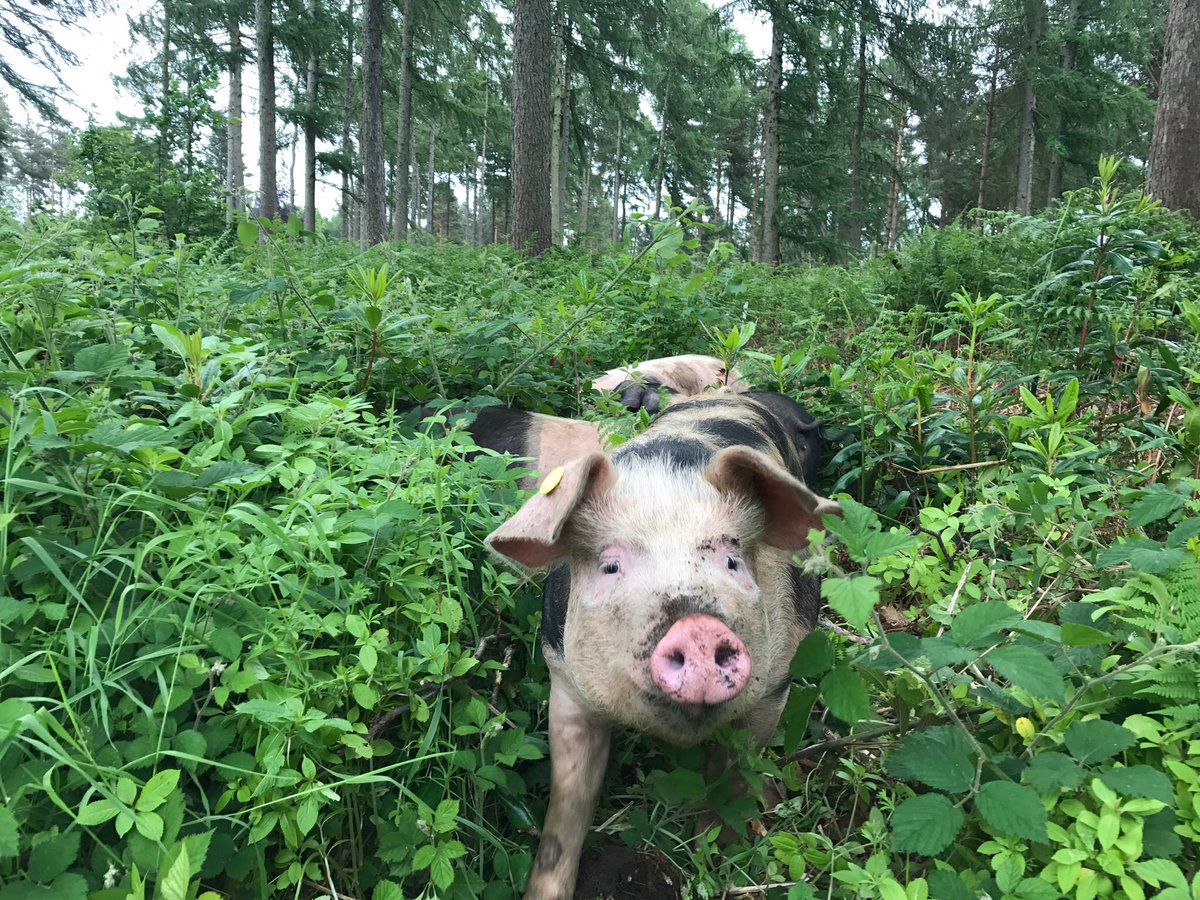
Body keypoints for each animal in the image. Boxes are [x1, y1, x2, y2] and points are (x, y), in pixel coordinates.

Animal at [485, 392, 839, 900]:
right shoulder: (565, 678)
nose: (696, 628)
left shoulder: (775, 683)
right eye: (610, 566)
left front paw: (719, 847)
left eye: (733, 560)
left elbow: (735, 770)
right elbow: (568, 801)